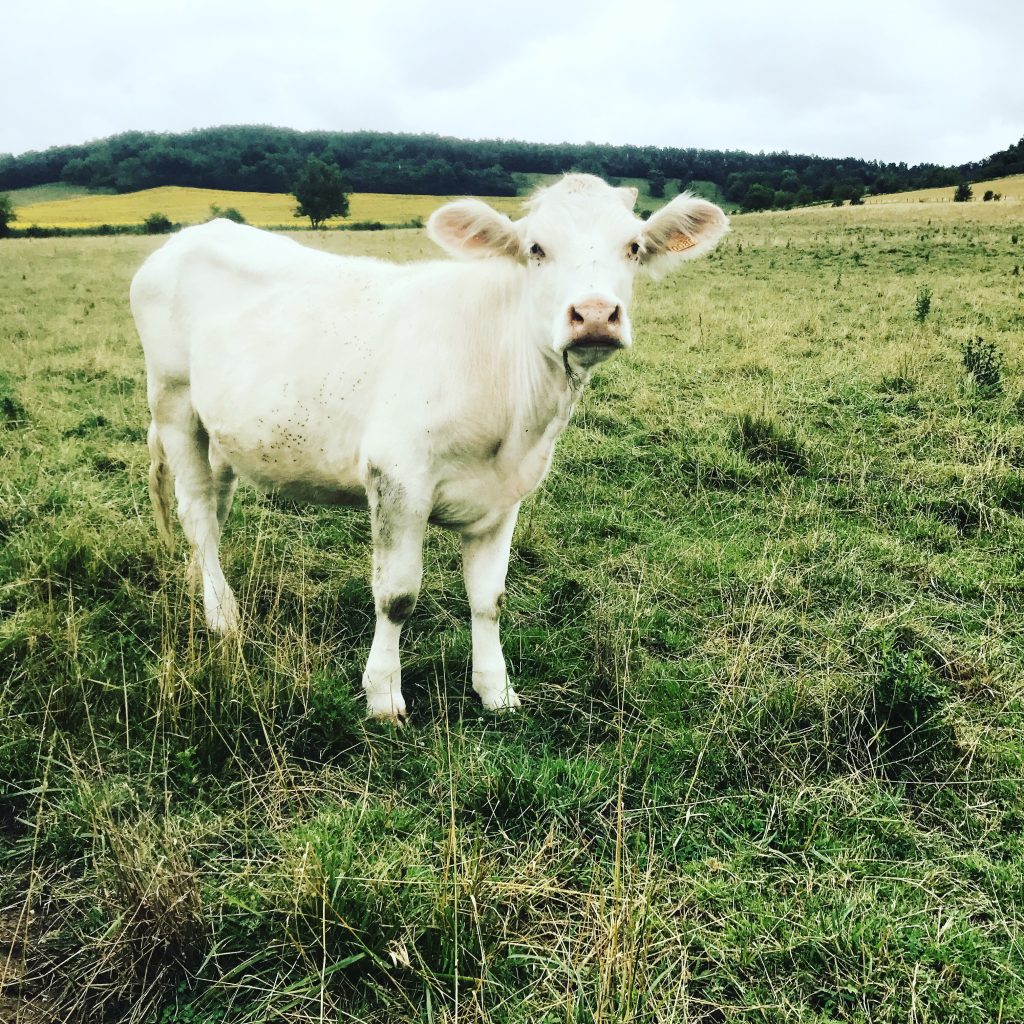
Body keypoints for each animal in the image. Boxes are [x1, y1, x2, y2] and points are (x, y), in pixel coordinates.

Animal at [130, 174, 728, 724]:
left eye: (633, 246)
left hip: (224, 427)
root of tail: (190, 236)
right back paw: (223, 616)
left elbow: (489, 598)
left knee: (215, 503)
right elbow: (396, 596)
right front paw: (383, 697)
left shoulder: (505, 496)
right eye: (536, 249)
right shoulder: (398, 478)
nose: (596, 314)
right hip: (173, 399)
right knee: (196, 509)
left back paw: (205, 588)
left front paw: (495, 689)